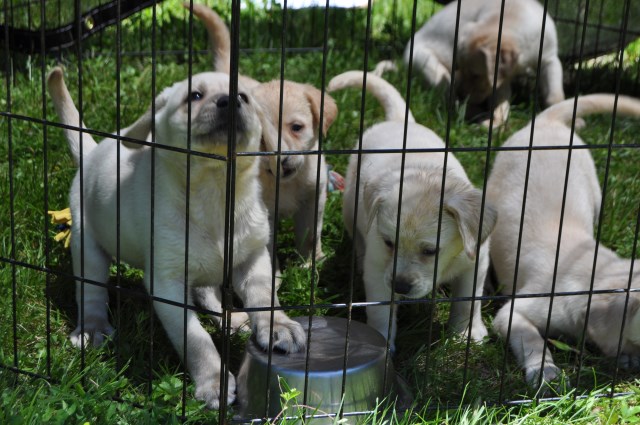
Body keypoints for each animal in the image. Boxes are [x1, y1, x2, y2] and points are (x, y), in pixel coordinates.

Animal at [47, 67, 304, 408]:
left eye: (244, 96)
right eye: (195, 95)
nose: (230, 100)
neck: (216, 188)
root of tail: (92, 153)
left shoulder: (254, 258)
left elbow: (265, 298)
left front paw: (279, 326)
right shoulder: (167, 283)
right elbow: (196, 338)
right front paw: (213, 382)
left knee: (207, 293)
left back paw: (233, 320)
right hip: (87, 244)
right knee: (91, 291)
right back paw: (92, 328)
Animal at [186, 3, 340, 262]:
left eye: (296, 128)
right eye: (261, 138)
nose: (283, 160)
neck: (283, 184)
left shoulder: (314, 198)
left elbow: (311, 234)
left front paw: (311, 263)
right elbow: (266, 246)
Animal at [330, 71, 500, 350]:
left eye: (430, 251)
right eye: (389, 243)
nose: (400, 286)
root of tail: (399, 120)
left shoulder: (476, 261)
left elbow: (468, 301)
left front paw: (467, 334)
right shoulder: (378, 267)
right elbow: (380, 310)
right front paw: (382, 342)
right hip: (350, 207)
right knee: (356, 237)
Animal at [404, 0, 564, 126]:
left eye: (476, 75)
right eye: (458, 67)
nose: (462, 94)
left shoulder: (550, 59)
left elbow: (554, 94)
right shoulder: (498, 80)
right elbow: (500, 98)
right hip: (430, 67)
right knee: (452, 102)